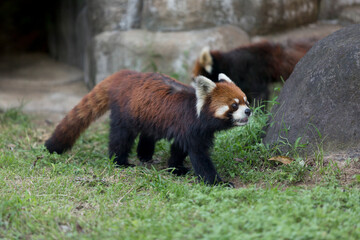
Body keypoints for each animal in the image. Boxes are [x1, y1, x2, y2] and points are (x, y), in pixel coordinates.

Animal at [45, 69, 252, 186]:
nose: (249, 111)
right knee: (121, 137)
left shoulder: (185, 130)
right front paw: (217, 182)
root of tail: (125, 75)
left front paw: (175, 167)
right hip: (125, 112)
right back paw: (120, 161)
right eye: (234, 105)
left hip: (148, 113)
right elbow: (199, 157)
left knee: (148, 132)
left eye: (246, 101)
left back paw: (144, 154)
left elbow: (179, 148)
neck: (199, 113)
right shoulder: (190, 128)